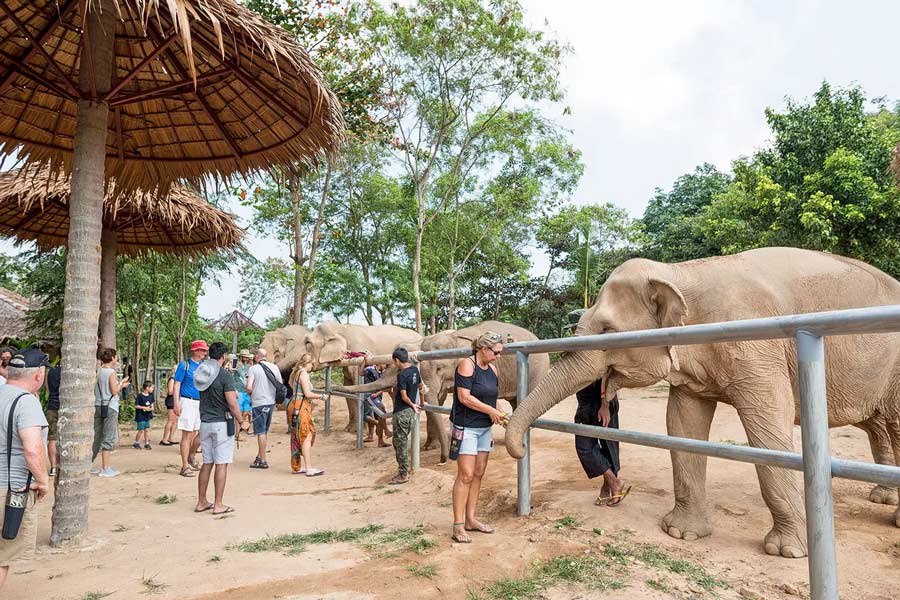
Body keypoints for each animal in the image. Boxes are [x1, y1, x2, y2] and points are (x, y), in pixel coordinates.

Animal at [502, 247, 900, 556]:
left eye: (607, 331)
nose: (519, 448)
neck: (680, 272)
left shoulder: (759, 347)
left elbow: (768, 428)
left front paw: (786, 551)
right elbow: (682, 423)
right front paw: (681, 533)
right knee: (879, 425)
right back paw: (884, 498)